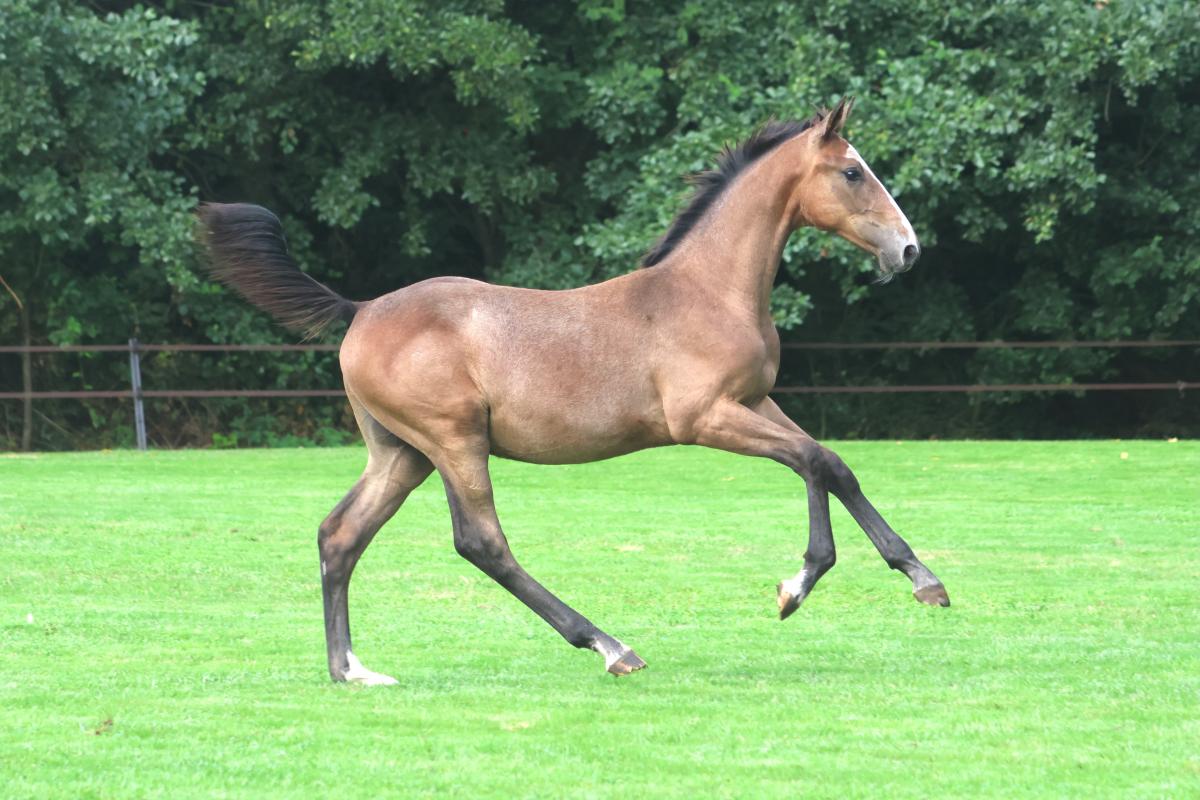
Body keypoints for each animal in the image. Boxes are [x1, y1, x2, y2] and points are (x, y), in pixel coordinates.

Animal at [198, 97, 949, 685]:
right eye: (852, 171)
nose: (909, 249)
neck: (707, 292)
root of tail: (358, 309)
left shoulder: (756, 401)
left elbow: (834, 464)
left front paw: (921, 577)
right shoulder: (705, 418)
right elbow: (812, 462)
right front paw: (797, 586)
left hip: (401, 453)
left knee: (340, 535)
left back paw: (352, 669)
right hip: (454, 442)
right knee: (482, 544)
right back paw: (611, 646)